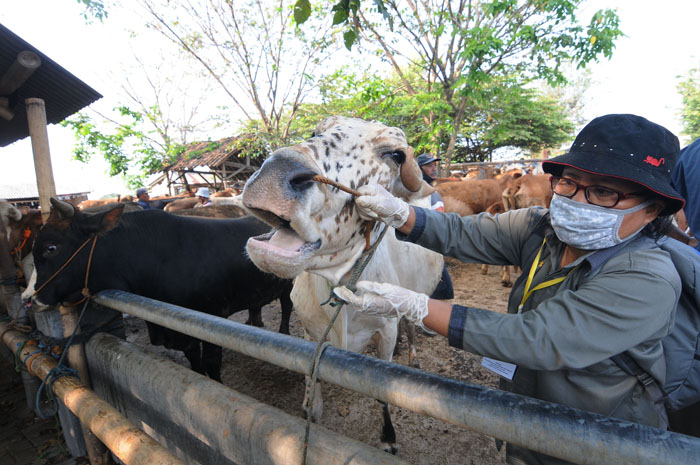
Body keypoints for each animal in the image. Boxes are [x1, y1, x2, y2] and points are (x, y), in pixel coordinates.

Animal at [32, 197, 292, 380]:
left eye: (51, 248)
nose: (34, 299)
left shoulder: (212, 319)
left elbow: (211, 363)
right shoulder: (181, 332)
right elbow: (195, 363)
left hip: (288, 286)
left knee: (287, 306)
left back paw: (284, 333)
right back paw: (255, 323)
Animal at [245, 116, 442, 454]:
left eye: (395, 155)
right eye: (316, 131)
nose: (275, 173)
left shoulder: (385, 332)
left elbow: (382, 393)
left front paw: (388, 437)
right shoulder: (310, 331)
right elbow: (311, 384)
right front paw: (311, 408)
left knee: (410, 325)